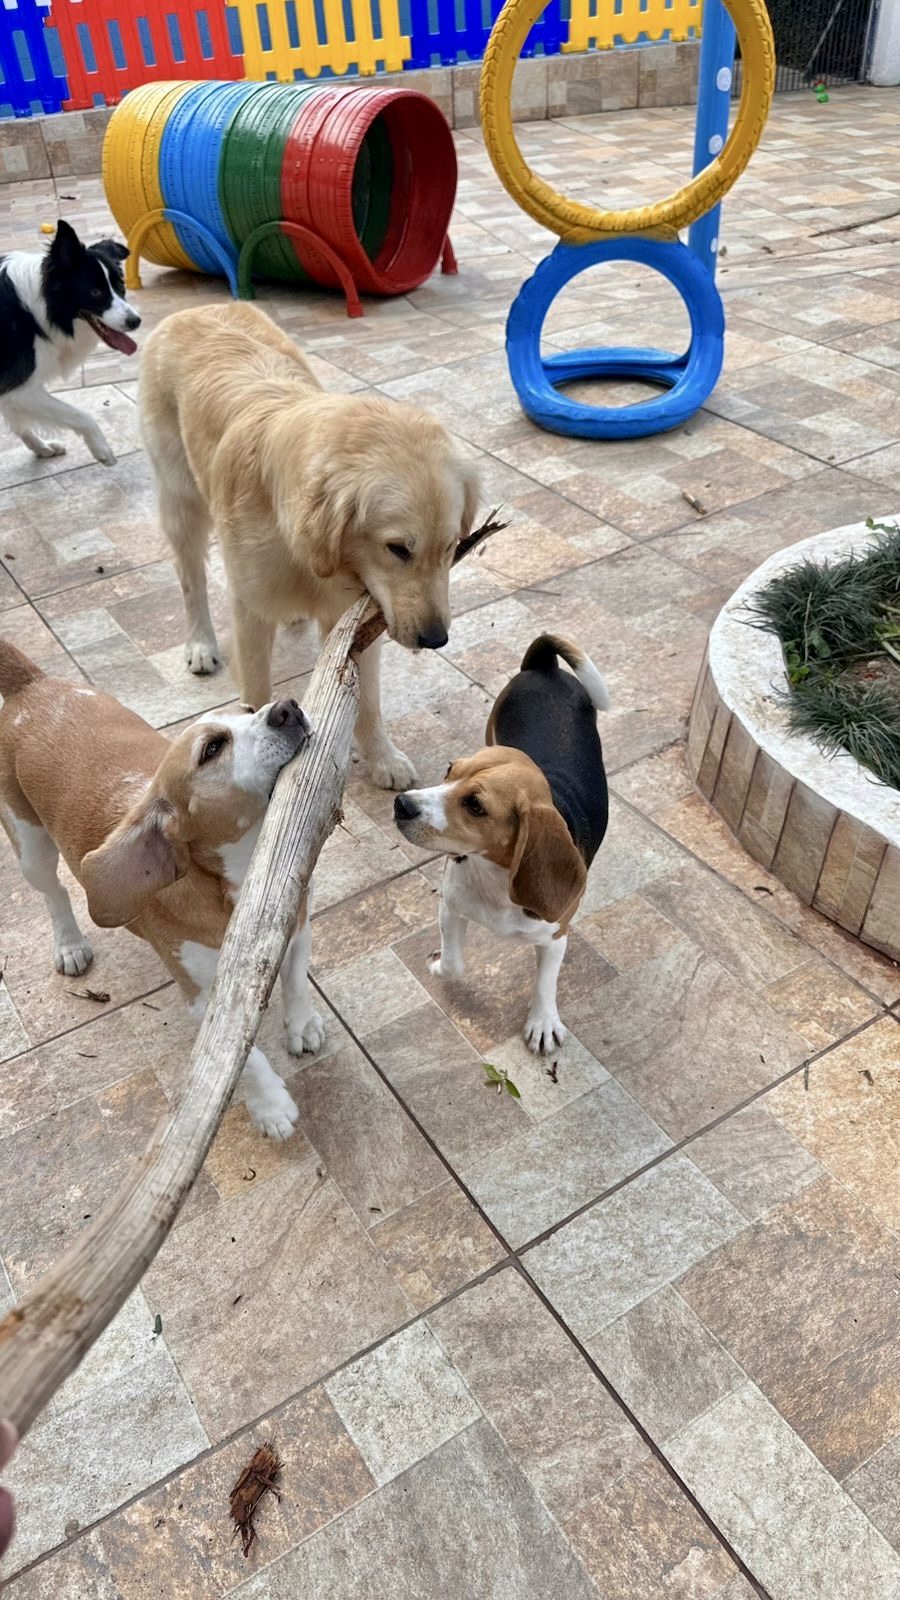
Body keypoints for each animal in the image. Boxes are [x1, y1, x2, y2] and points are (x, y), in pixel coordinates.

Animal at [0, 219, 140, 467]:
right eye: (95, 292)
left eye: (121, 285)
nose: (136, 321)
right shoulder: (17, 389)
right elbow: (81, 415)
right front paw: (101, 449)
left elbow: (19, 422)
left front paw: (41, 447)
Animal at [0, 638, 322, 1139]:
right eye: (212, 748)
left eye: (250, 710)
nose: (288, 706)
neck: (244, 875)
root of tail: (31, 686)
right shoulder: (205, 999)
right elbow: (243, 1060)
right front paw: (270, 1106)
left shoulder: (299, 928)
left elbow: (296, 981)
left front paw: (302, 1024)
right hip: (29, 848)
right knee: (53, 894)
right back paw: (69, 943)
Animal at [138, 302, 480, 790]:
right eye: (397, 548)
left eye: (452, 547)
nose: (436, 640)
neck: (311, 555)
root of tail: (196, 308)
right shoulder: (251, 611)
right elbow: (256, 690)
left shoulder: (355, 618)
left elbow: (366, 698)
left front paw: (382, 758)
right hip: (180, 502)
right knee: (191, 579)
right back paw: (200, 643)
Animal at [394, 635, 609, 1054]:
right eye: (449, 770)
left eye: (475, 805)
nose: (402, 804)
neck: (493, 874)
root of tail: (544, 667)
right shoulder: (451, 907)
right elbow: (455, 964)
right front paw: (439, 964)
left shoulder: (556, 936)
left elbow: (545, 983)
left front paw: (542, 1022)